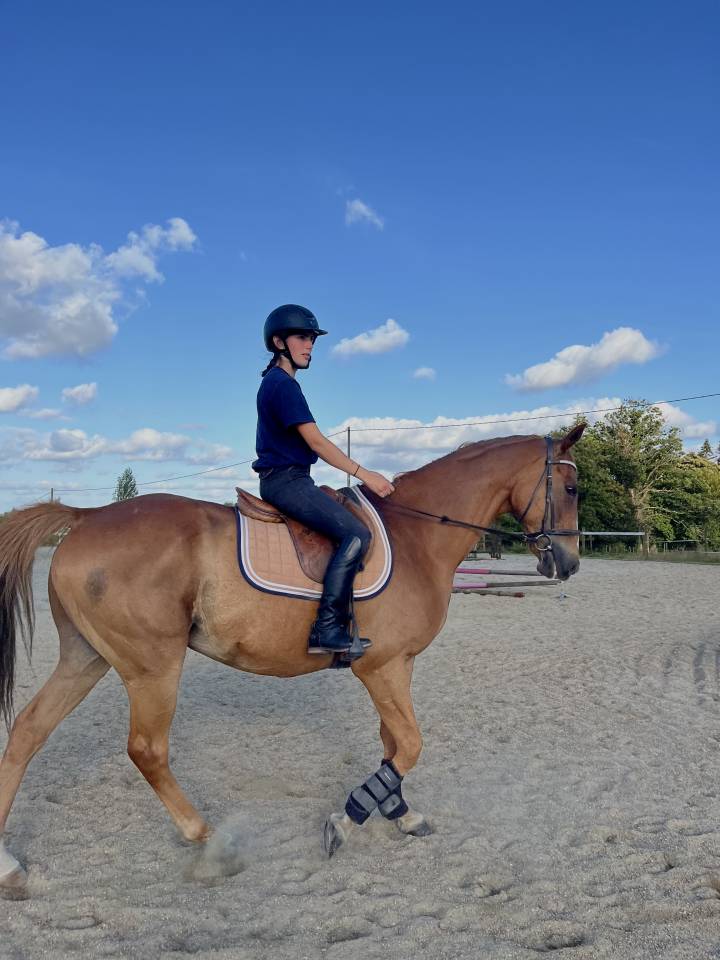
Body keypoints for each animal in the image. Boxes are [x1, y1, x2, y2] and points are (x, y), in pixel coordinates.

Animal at [0, 423, 585, 892]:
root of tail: (86, 517)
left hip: (87, 657)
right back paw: (206, 839)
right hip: (152, 666)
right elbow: (411, 744)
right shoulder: (382, 667)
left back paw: (8, 866)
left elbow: (393, 744)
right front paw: (349, 818)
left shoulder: (398, 665)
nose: (570, 563)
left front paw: (400, 813)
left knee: (28, 730)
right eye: (571, 488)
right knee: (147, 749)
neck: (417, 537)